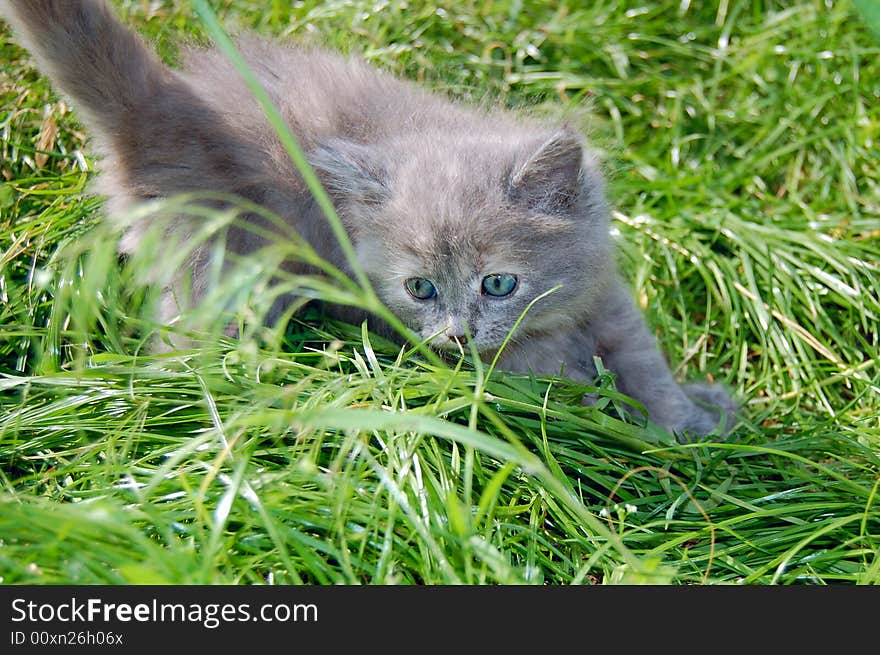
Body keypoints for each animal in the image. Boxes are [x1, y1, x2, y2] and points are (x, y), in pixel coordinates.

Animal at [3, 2, 740, 440]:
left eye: (499, 283)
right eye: (421, 288)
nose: (458, 333)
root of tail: (159, 110)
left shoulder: (608, 296)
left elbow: (647, 365)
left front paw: (697, 420)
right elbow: (564, 384)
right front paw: (617, 418)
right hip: (225, 276)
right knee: (186, 357)